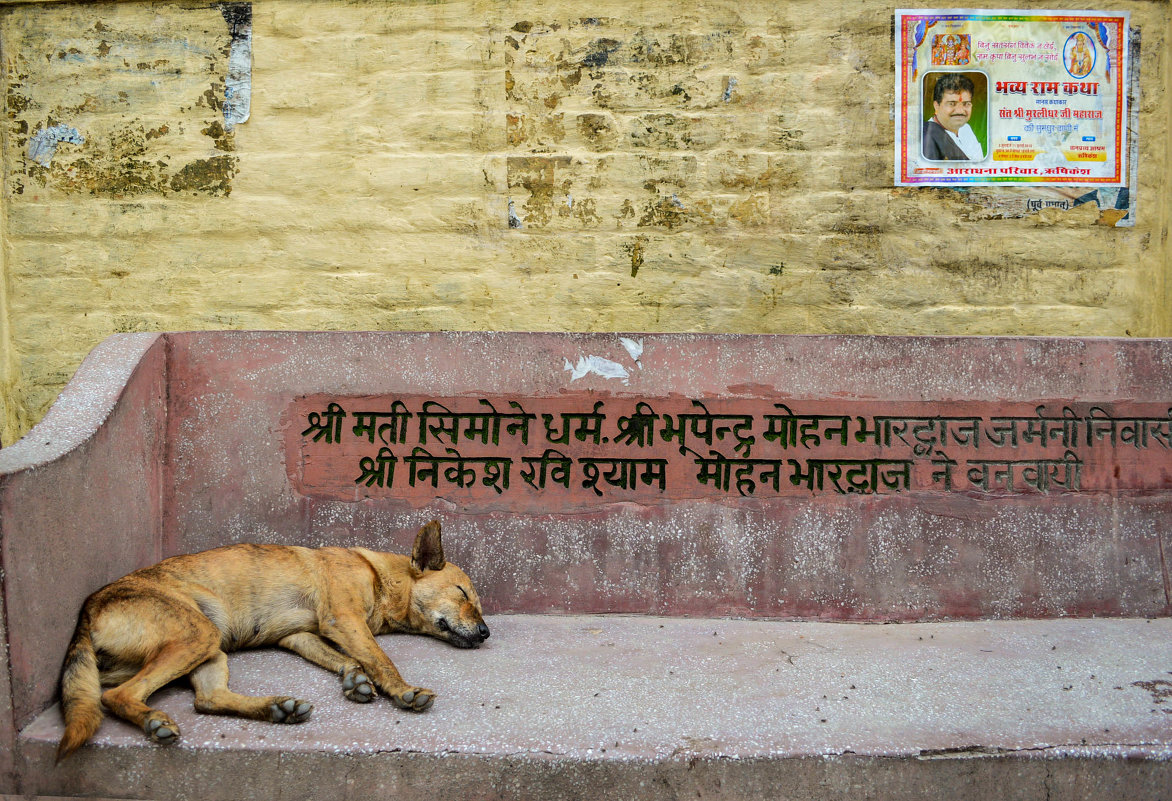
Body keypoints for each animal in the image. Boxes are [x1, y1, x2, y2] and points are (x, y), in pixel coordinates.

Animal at [57, 523, 487, 759]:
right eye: (463, 594)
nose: (486, 633)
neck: (380, 577)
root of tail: (88, 608)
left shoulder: (301, 636)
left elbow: (350, 660)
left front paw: (354, 680)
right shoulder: (344, 620)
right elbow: (380, 659)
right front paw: (403, 691)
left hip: (210, 647)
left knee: (207, 699)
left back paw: (278, 708)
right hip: (198, 634)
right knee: (118, 696)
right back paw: (153, 720)